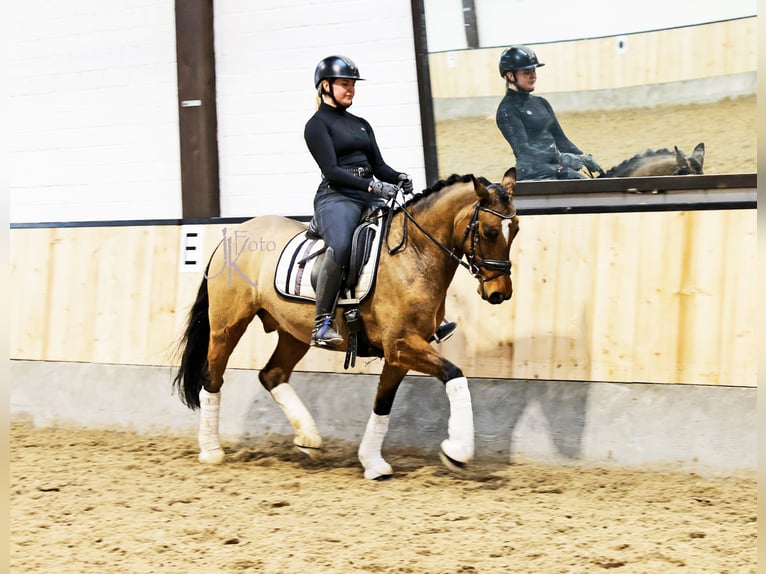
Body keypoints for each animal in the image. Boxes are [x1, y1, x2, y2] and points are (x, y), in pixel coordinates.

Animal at [174, 169, 520, 480]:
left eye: (514, 229)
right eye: (490, 231)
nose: (499, 293)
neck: (414, 254)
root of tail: (236, 233)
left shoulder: (399, 353)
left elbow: (383, 403)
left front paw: (373, 463)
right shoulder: (401, 344)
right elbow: (454, 374)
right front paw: (457, 451)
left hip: (294, 333)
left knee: (272, 374)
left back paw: (308, 438)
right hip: (227, 326)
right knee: (213, 378)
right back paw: (212, 451)